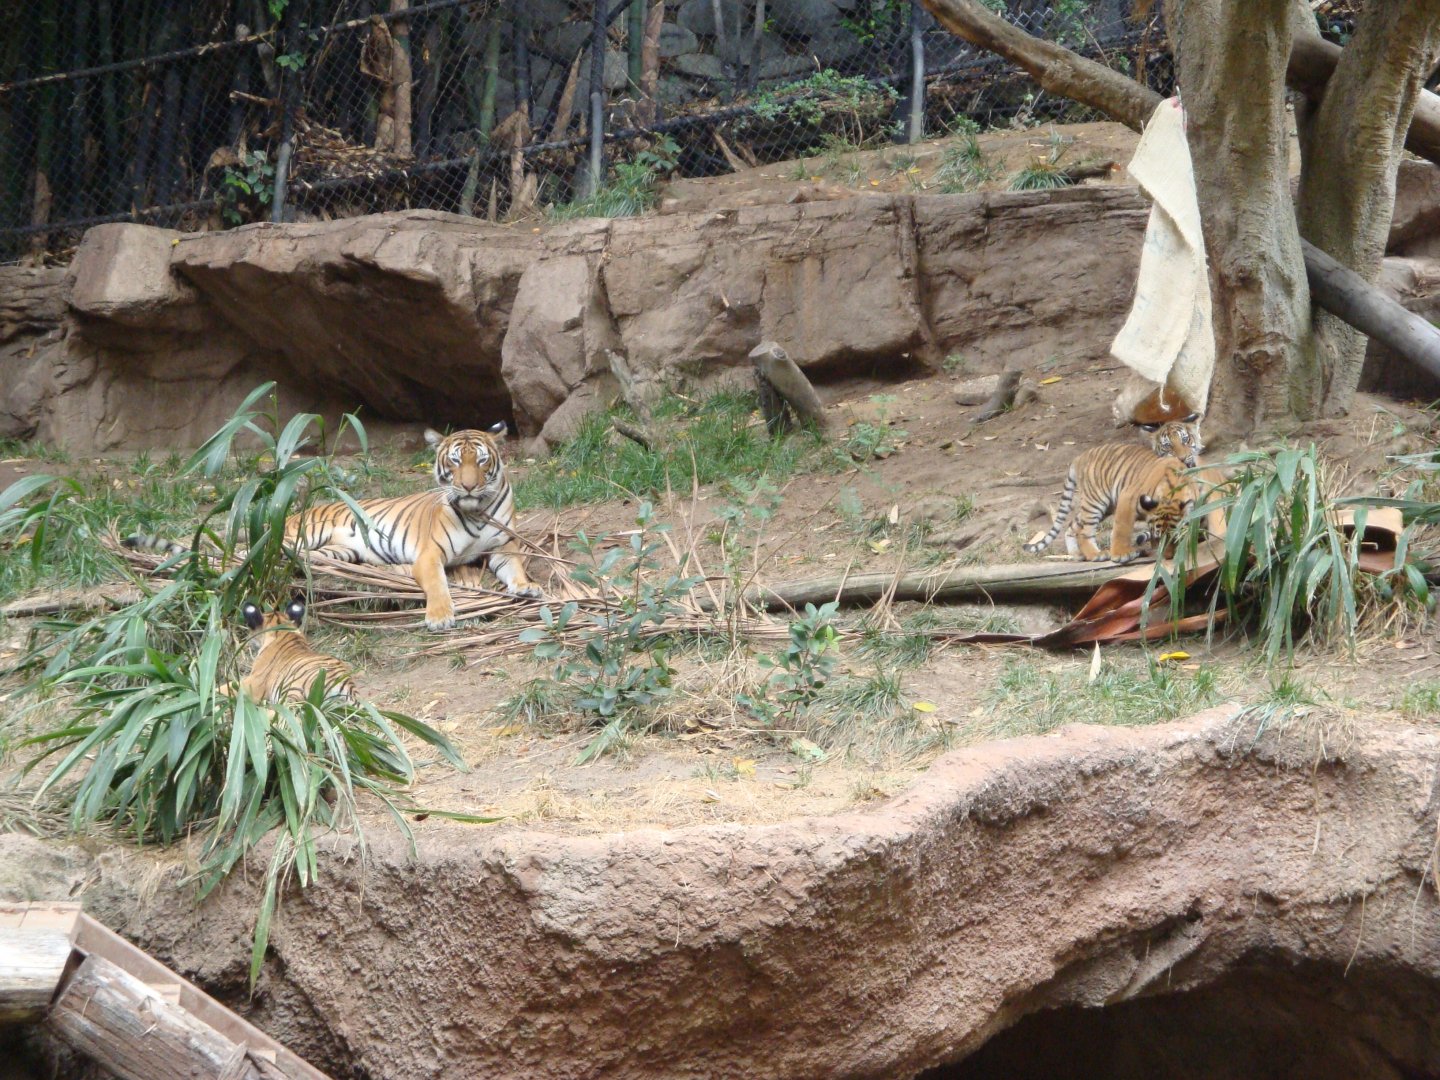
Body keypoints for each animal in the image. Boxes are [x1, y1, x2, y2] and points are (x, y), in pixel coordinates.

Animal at [1024, 443, 1197, 564]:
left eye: (1176, 538)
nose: (1168, 556)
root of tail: (1080, 457)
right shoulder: (1127, 498)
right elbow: (1122, 528)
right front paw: (1121, 554)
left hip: (1103, 507)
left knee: (1072, 526)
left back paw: (1078, 555)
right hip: (1096, 501)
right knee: (1084, 532)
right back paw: (1096, 555)